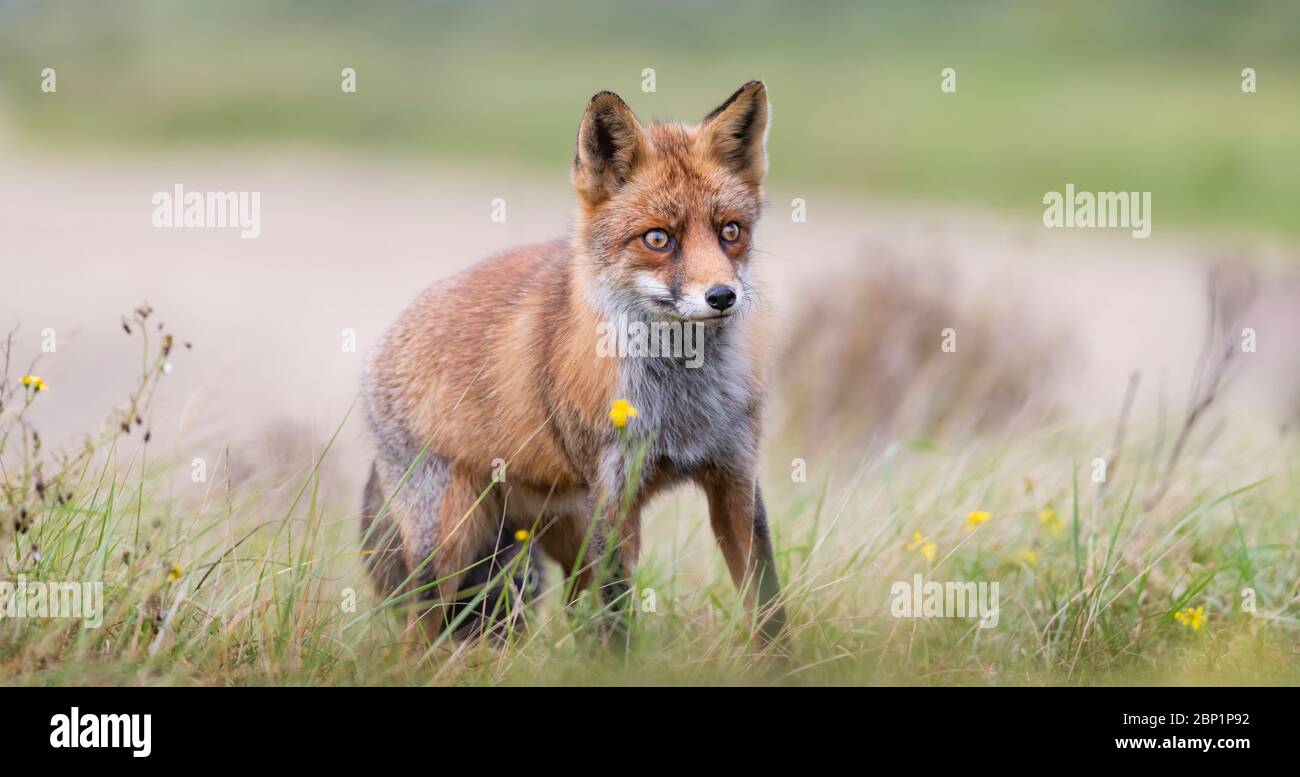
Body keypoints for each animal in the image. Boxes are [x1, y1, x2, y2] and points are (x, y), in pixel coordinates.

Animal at [361, 80, 780, 644]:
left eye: (730, 231)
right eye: (658, 238)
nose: (722, 296)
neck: (681, 404)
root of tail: (380, 347)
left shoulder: (735, 480)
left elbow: (771, 613)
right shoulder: (613, 498)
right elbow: (617, 623)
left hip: (564, 534)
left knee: (573, 614)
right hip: (449, 545)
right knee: (416, 635)